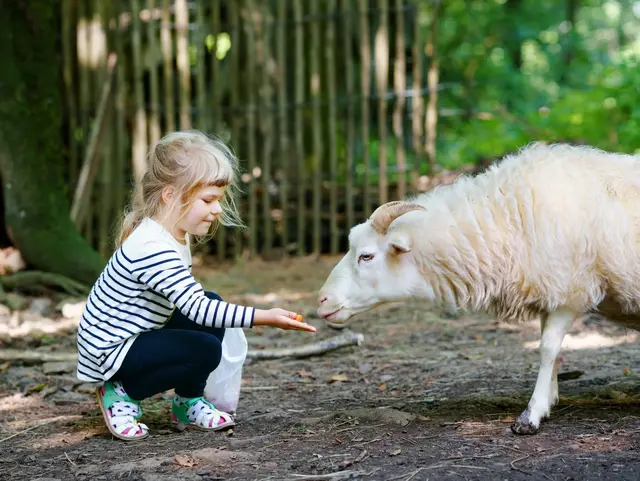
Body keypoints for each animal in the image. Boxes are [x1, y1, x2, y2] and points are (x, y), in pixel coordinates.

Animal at [317, 142, 640, 435]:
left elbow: (548, 348)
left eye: (366, 256)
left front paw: (532, 414)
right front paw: (548, 400)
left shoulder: (570, 292)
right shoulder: (550, 292)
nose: (322, 300)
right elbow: (551, 348)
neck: (507, 218)